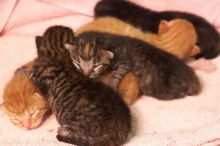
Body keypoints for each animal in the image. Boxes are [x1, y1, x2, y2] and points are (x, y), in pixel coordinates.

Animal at [68, 31, 200, 100]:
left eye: (96, 65)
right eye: (78, 63)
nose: (86, 74)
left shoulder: (125, 62)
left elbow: (115, 75)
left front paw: (110, 86)